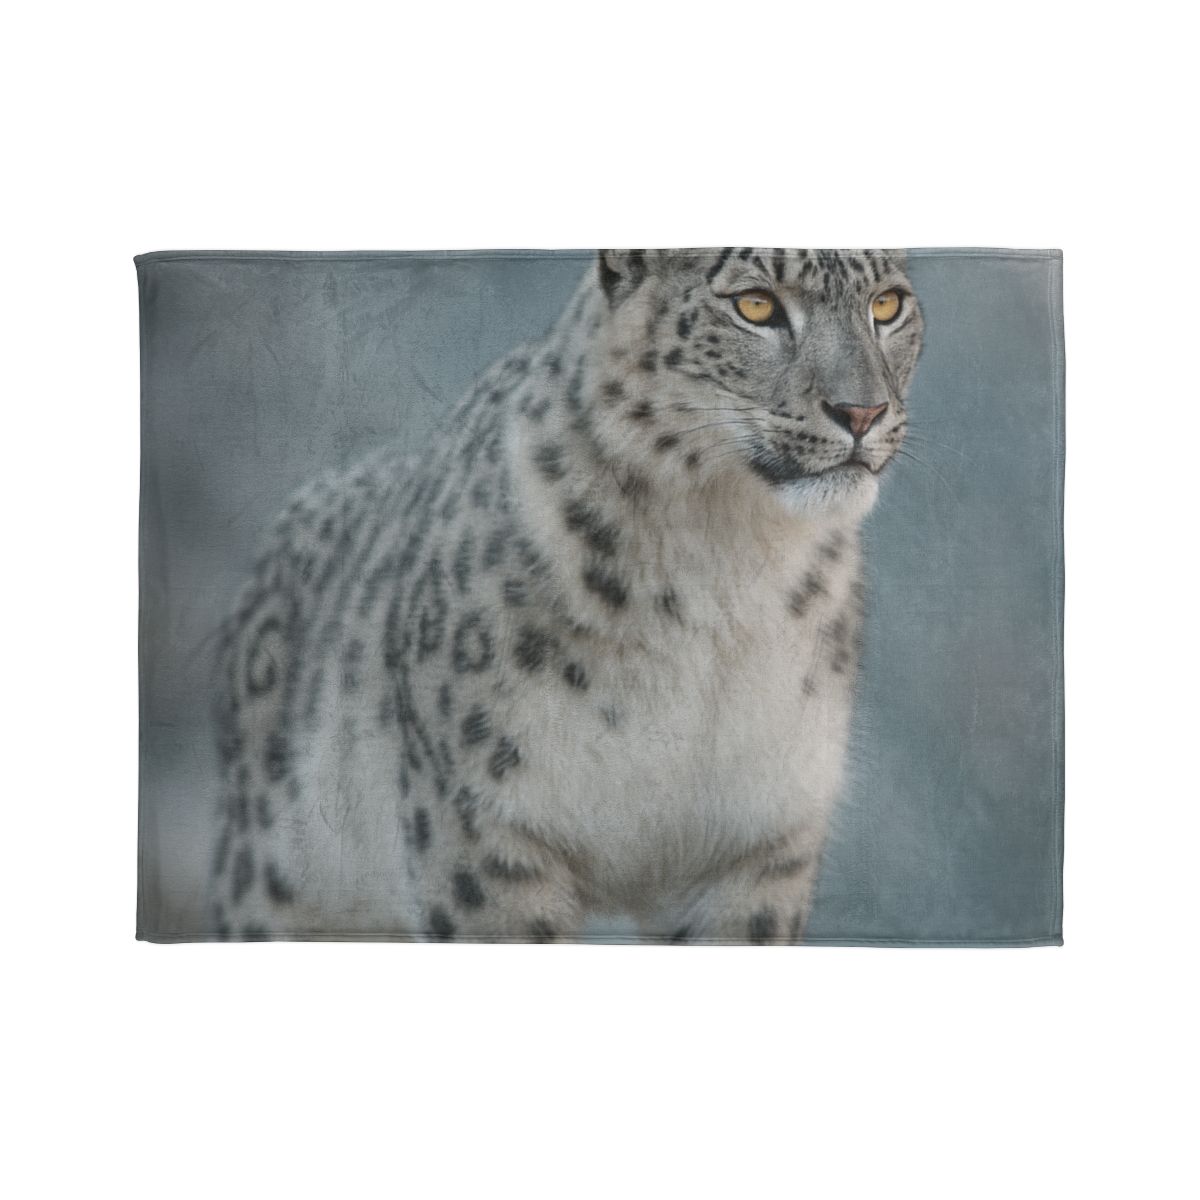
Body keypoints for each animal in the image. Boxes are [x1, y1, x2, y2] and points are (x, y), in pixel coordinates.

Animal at [210, 248, 924, 943]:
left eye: (886, 304)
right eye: (755, 305)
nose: (862, 412)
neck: (729, 564)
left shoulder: (764, 837)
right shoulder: (484, 826)